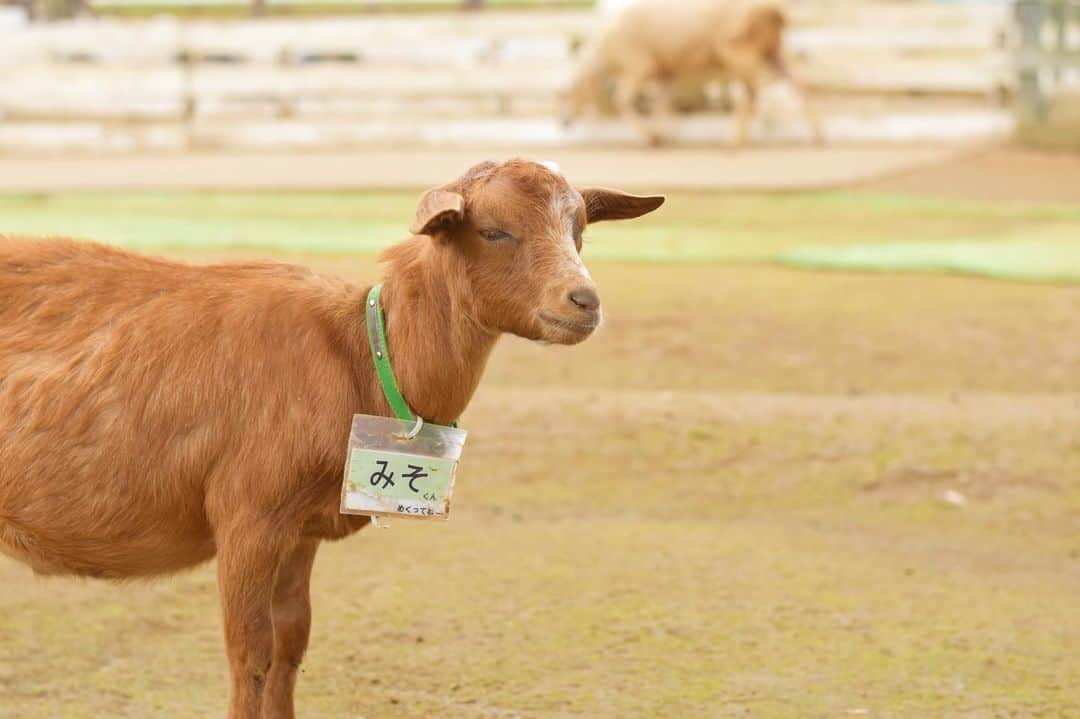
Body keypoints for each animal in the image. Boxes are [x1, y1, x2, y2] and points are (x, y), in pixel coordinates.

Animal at [0, 159, 656, 716]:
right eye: (493, 231)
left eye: (580, 230)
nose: (585, 302)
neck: (360, 357)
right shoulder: (247, 518)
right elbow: (249, 653)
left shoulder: (300, 529)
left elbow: (290, 643)